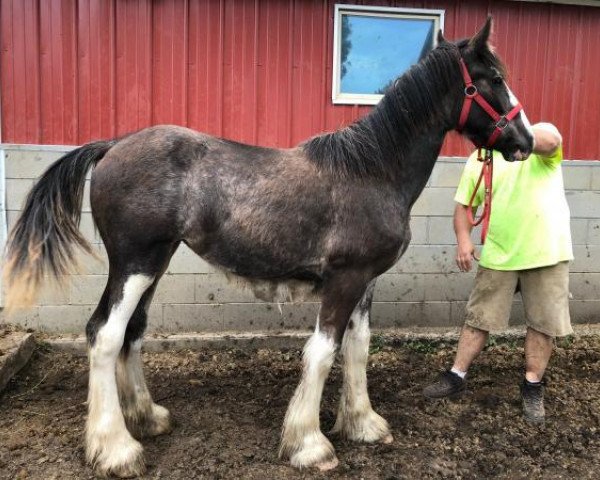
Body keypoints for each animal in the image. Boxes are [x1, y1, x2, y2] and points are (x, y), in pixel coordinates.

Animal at [3, 17, 528, 476]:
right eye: (495, 78)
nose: (524, 141)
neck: (372, 172)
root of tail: (113, 145)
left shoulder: (366, 282)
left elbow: (358, 349)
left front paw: (362, 424)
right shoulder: (345, 280)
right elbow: (322, 353)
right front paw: (310, 445)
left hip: (154, 263)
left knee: (132, 332)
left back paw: (147, 419)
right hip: (136, 262)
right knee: (105, 334)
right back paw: (116, 449)